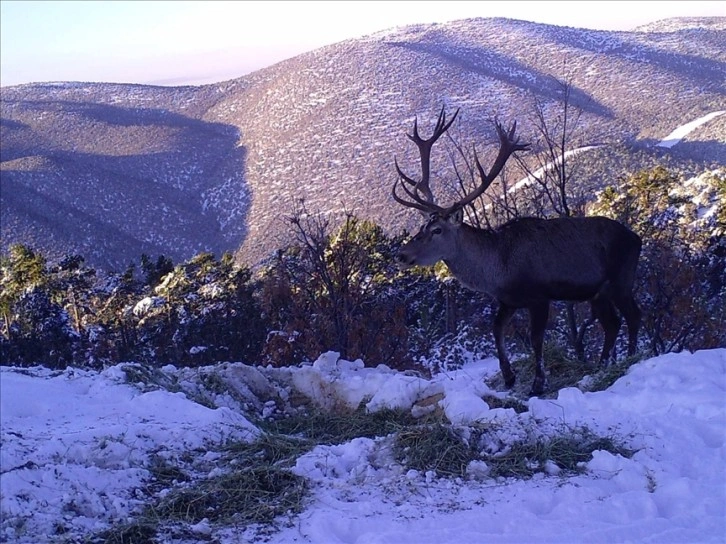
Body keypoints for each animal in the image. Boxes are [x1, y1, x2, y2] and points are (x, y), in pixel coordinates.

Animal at [392, 106, 644, 396]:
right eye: (422, 225)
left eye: (436, 230)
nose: (401, 255)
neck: (499, 268)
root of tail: (636, 238)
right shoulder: (507, 300)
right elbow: (496, 329)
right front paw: (509, 376)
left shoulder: (540, 296)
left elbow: (536, 340)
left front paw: (537, 384)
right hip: (598, 292)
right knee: (612, 323)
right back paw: (600, 367)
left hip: (622, 277)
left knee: (633, 316)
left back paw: (629, 359)